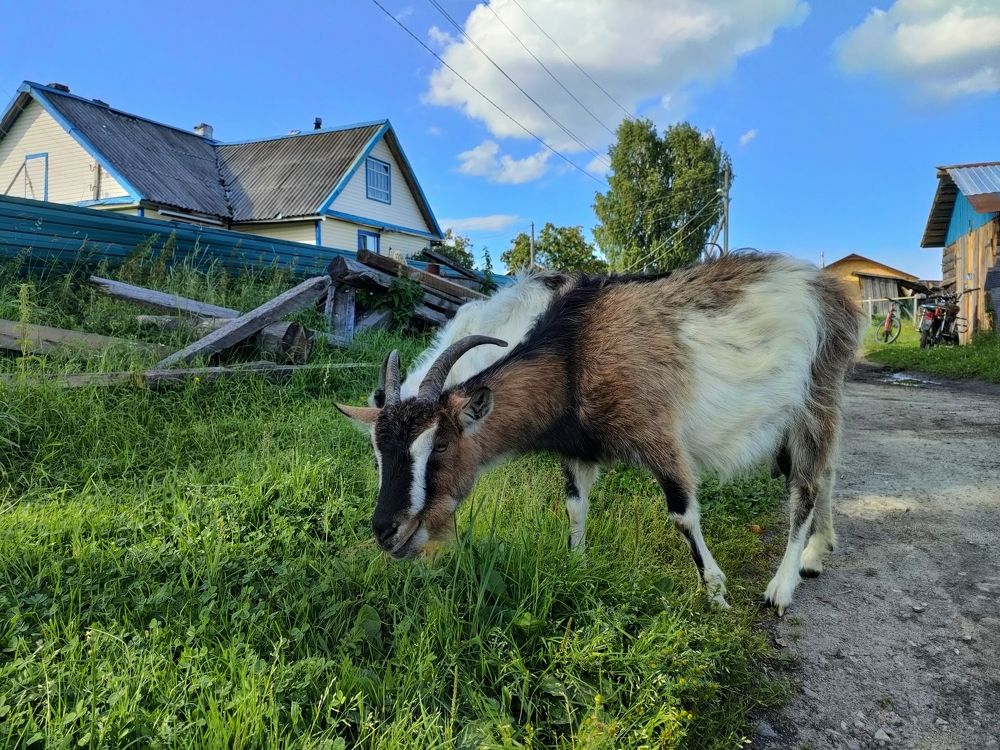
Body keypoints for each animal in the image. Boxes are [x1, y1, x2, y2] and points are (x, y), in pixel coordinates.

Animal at [338, 254, 861, 614]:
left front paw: (716, 593)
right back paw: (816, 554)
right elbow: (575, 506)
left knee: (808, 487)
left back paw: (782, 587)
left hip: (815, 397)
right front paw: (576, 564)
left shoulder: (658, 435)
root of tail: (828, 289)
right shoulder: (579, 449)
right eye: (377, 454)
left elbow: (683, 515)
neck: (575, 354)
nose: (386, 532)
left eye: (440, 444)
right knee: (827, 474)